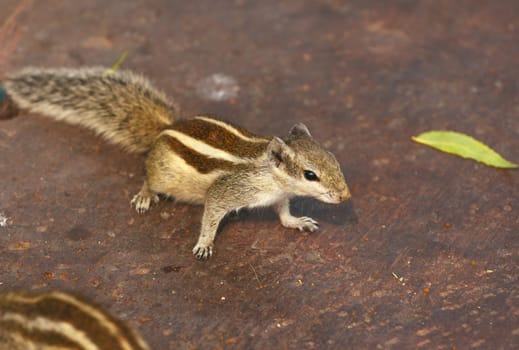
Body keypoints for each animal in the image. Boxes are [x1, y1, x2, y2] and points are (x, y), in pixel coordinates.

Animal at [0, 67, 352, 260]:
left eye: (335, 161)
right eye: (310, 174)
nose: (345, 195)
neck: (269, 172)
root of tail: (163, 130)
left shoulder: (278, 196)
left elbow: (282, 214)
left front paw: (297, 222)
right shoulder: (228, 191)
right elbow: (211, 213)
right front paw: (204, 244)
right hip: (162, 175)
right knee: (147, 177)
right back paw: (145, 195)